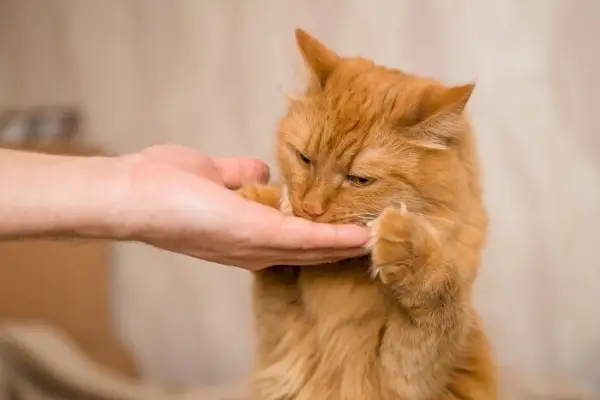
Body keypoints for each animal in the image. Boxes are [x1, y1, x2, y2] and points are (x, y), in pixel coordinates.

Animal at [239, 28, 496, 400]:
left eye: (360, 180)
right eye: (304, 158)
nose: (310, 208)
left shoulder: (409, 376)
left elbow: (437, 299)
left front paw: (406, 243)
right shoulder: (282, 345)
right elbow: (274, 281)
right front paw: (266, 201)